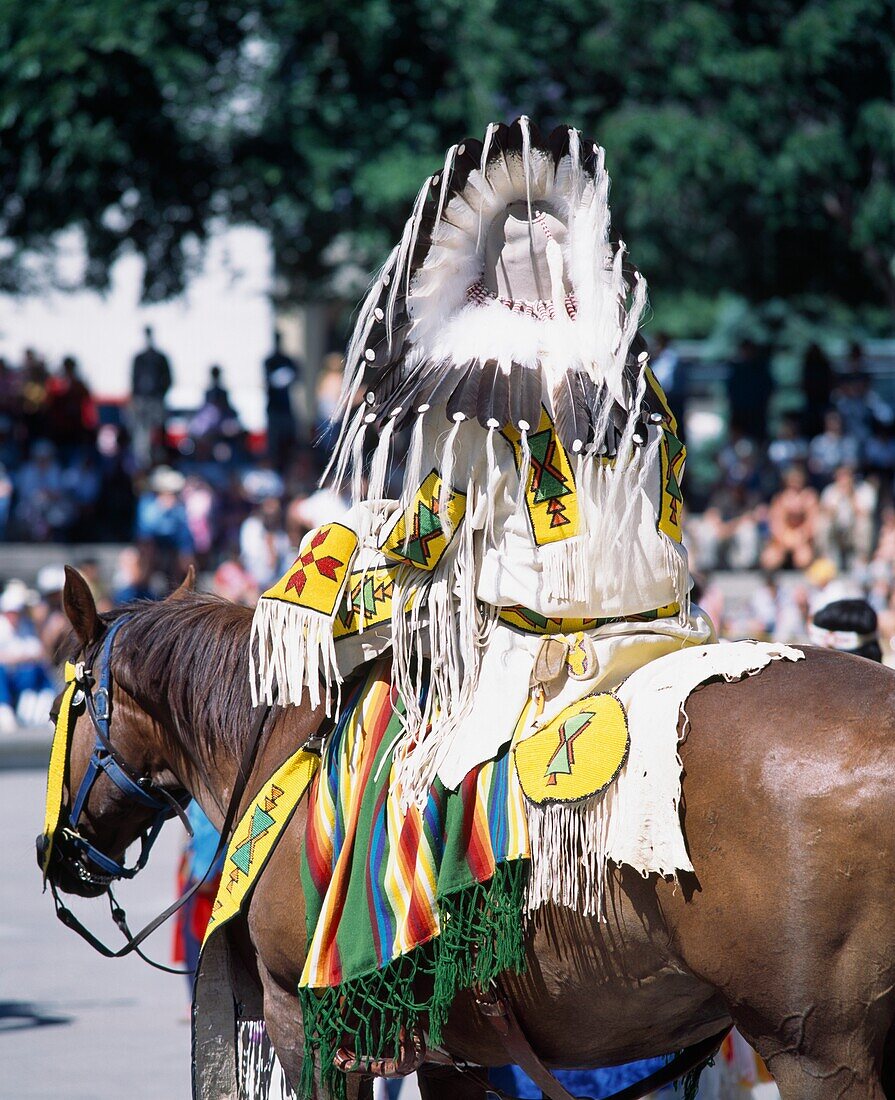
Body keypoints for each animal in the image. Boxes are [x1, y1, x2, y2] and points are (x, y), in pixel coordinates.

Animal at [42, 567, 895, 1100]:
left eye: (61, 707)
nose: (55, 853)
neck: (290, 744)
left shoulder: (303, 1023)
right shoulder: (454, 1053)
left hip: (817, 1053)